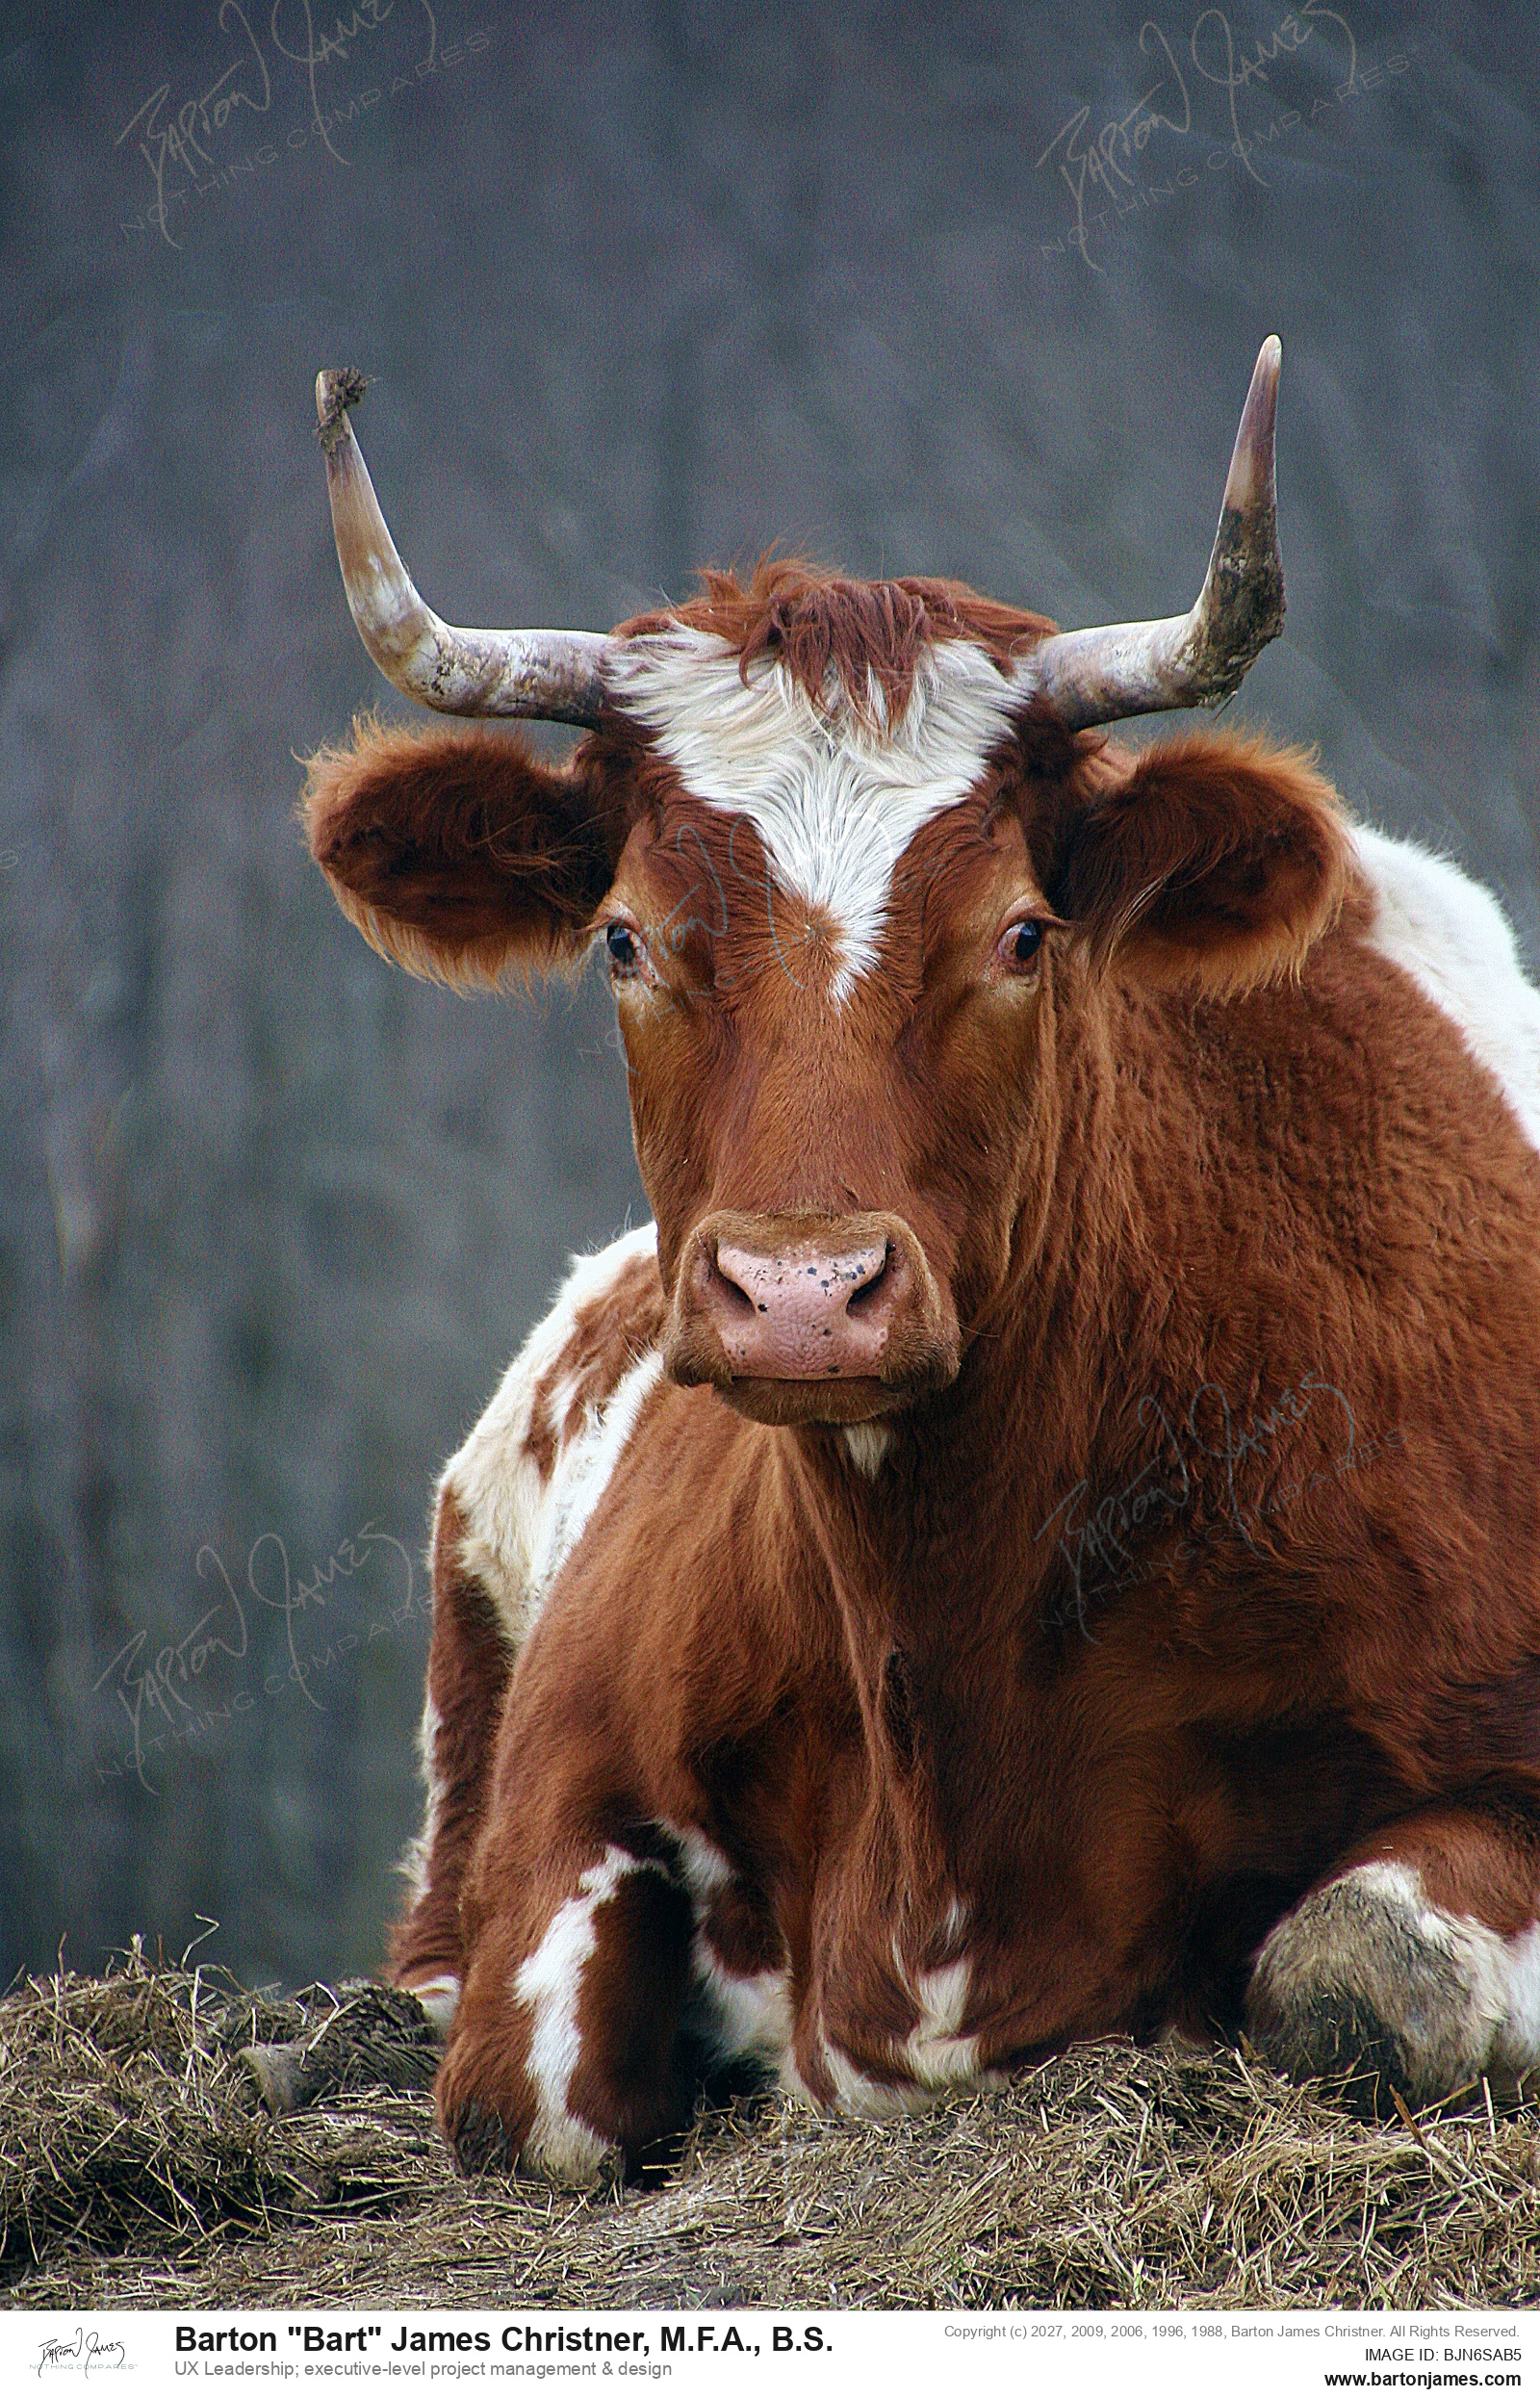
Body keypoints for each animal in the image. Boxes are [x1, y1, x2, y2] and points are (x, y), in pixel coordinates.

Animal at [302, 342, 1540, 2184]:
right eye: (623, 939)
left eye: (1024, 932)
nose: (805, 1298)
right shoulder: (562, 1794)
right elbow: (540, 2091)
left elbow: (1357, 1967)